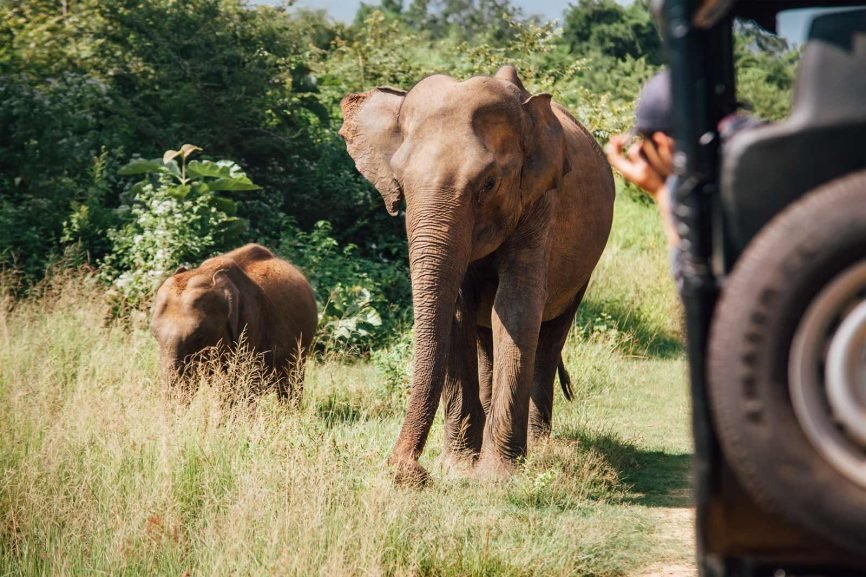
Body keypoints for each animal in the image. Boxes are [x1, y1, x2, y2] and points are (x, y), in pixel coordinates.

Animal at [339, 65, 614, 483]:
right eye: (399, 184)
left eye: (488, 184)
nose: (406, 471)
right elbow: (457, 314)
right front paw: (458, 468)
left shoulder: (540, 203)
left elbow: (515, 310)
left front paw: (497, 477)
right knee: (486, 336)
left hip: (584, 267)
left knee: (551, 334)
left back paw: (540, 446)